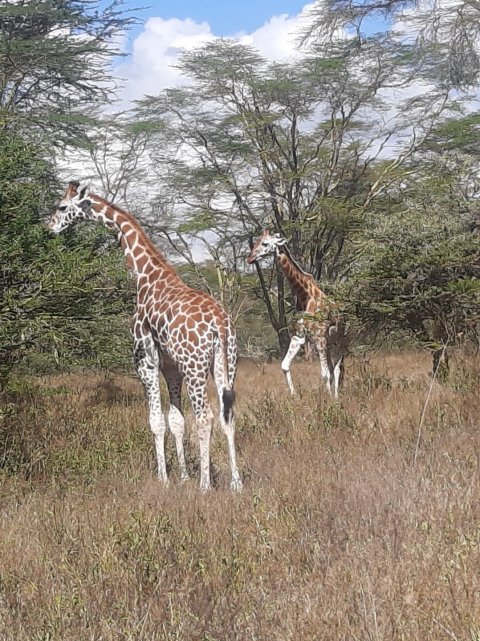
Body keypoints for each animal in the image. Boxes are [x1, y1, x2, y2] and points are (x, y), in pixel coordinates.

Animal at [47, 180, 244, 490]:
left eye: (62, 206)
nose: (49, 228)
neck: (145, 276)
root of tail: (220, 325)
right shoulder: (171, 366)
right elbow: (176, 419)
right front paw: (183, 476)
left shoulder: (145, 359)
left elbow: (156, 420)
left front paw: (165, 479)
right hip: (226, 363)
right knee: (228, 415)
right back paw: (236, 483)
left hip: (196, 367)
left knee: (205, 417)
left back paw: (205, 486)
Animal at [248, 228, 344, 398]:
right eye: (256, 241)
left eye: (265, 243)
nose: (250, 258)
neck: (305, 295)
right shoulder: (299, 337)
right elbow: (285, 365)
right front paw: (293, 396)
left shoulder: (319, 337)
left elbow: (324, 374)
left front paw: (328, 401)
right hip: (329, 343)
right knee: (333, 368)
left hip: (340, 340)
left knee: (337, 369)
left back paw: (336, 397)